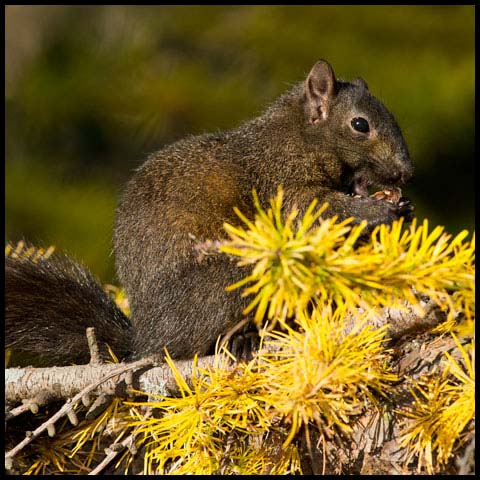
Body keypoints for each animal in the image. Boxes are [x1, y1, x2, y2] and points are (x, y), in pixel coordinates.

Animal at [5, 61, 412, 368]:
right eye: (360, 124)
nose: (406, 173)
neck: (301, 137)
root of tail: (143, 340)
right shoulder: (281, 184)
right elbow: (313, 211)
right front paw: (379, 207)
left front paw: (395, 203)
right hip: (228, 279)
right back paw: (241, 339)